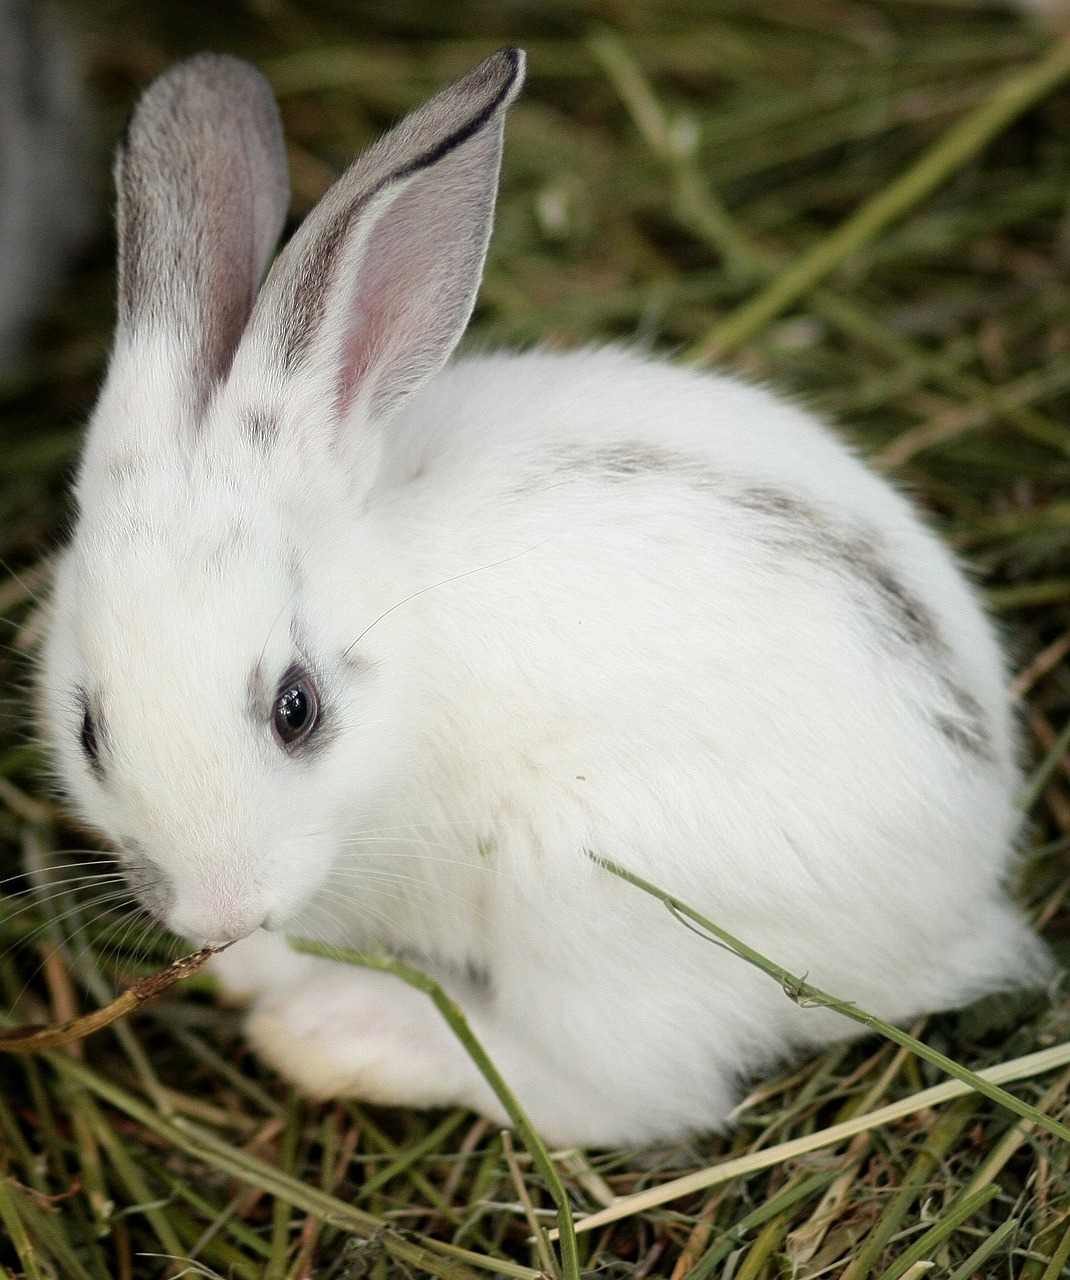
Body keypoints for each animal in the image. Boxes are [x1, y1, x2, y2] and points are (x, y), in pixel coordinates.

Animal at [39, 49, 1054, 1152]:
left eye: (296, 708)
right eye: (89, 733)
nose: (219, 913)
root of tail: (959, 895)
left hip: (592, 903)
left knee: (608, 1093)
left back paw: (341, 1035)